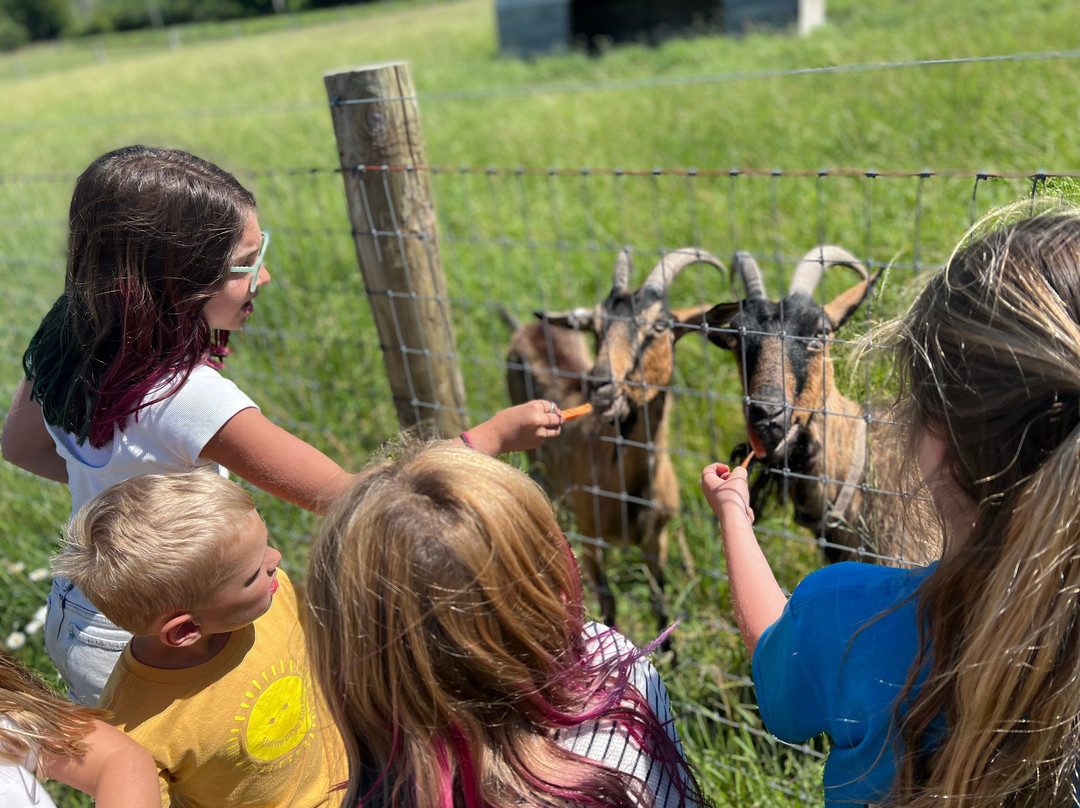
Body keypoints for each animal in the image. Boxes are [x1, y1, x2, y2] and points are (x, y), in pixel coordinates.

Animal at [503, 246, 725, 639]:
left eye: (658, 326)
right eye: (597, 327)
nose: (600, 385)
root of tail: (524, 327)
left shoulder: (657, 540)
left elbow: (659, 602)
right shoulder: (592, 540)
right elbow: (608, 604)